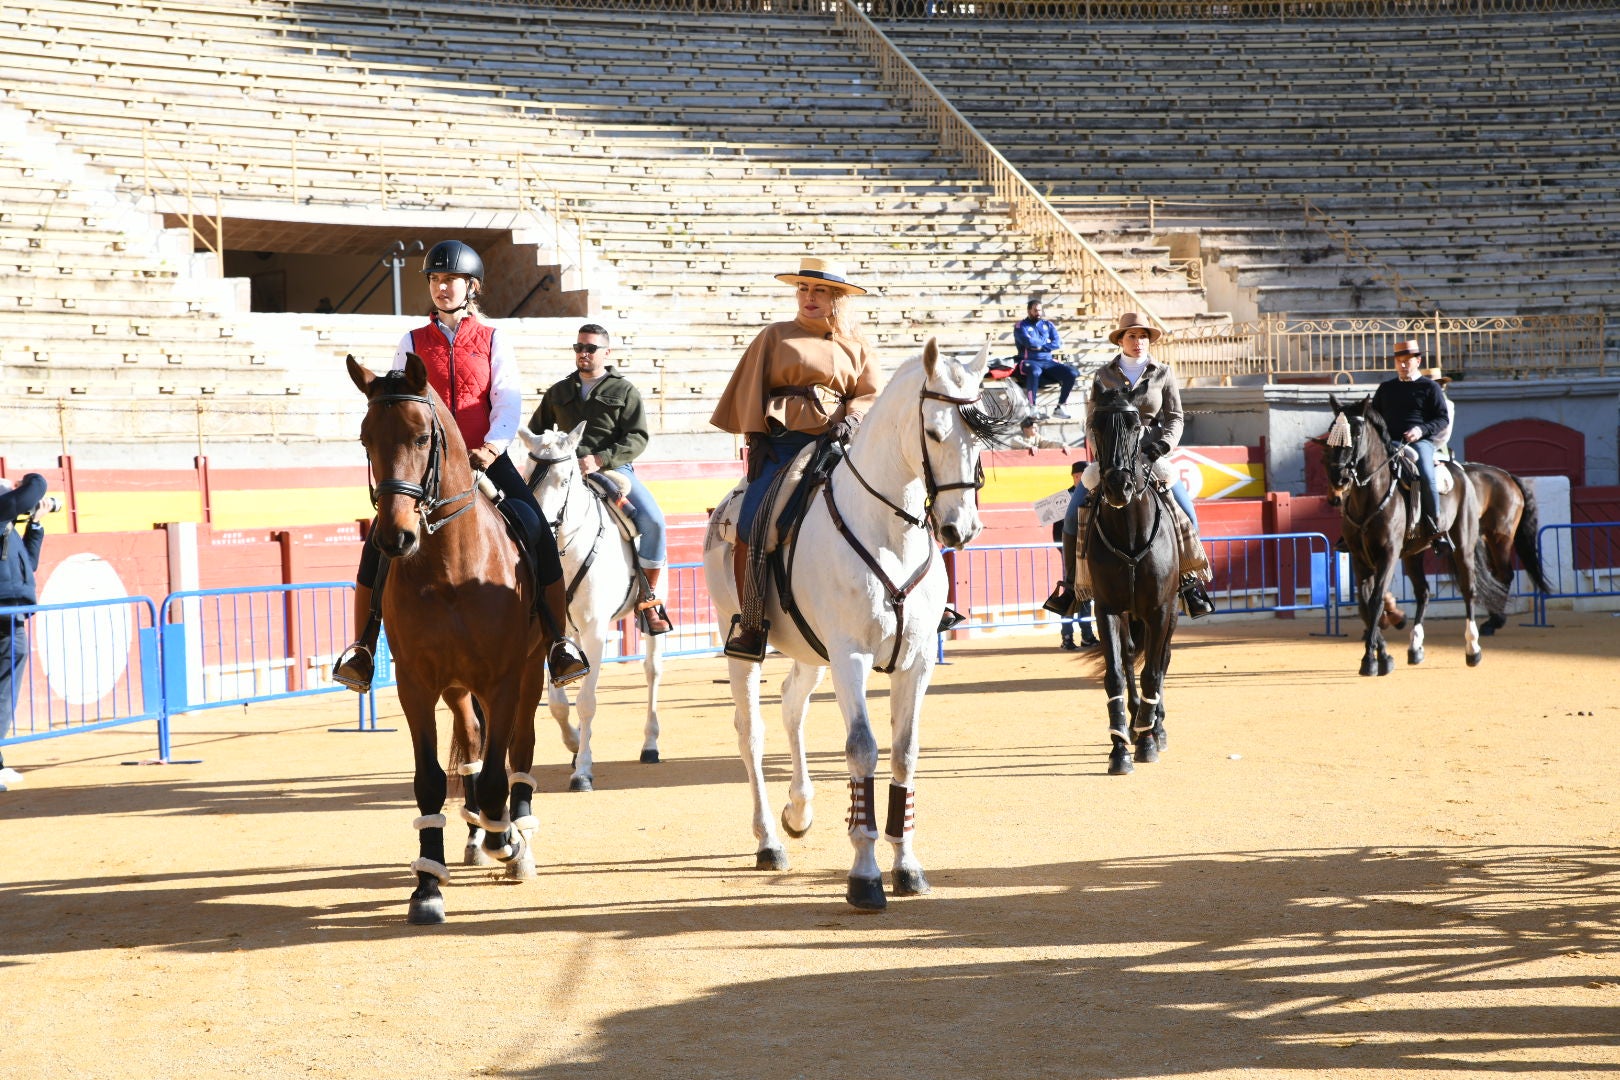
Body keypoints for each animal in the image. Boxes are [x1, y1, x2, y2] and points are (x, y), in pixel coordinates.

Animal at [348, 356, 550, 932]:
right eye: (366, 438)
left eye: (420, 437)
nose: (395, 538)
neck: (450, 568)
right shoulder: (417, 684)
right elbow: (431, 780)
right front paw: (427, 887)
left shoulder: (504, 679)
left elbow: (499, 777)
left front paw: (507, 842)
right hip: (459, 688)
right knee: (473, 746)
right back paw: (479, 835)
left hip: (531, 673)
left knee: (519, 750)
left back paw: (514, 839)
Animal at [521, 420, 667, 793]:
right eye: (525, 476)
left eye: (563, 480)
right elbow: (557, 704)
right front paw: (574, 744)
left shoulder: (595, 631)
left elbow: (586, 701)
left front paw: (583, 772)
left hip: (651, 617)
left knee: (652, 671)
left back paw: (650, 744)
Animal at [696, 340, 1010, 913]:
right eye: (935, 432)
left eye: (977, 436)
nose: (962, 528)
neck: (888, 528)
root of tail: (725, 508)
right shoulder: (851, 656)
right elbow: (861, 748)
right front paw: (864, 874)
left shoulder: (916, 662)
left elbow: (905, 753)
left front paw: (907, 865)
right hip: (745, 647)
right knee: (751, 733)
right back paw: (769, 840)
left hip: (809, 652)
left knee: (792, 705)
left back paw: (799, 811)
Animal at [1082, 383, 1185, 773]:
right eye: (1095, 425)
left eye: (1137, 424)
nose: (1118, 487)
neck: (1128, 531)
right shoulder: (1107, 609)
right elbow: (1115, 672)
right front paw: (1120, 748)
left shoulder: (1161, 609)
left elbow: (1153, 671)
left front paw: (1147, 738)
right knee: (1128, 657)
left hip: (1172, 611)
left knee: (1162, 660)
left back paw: (1156, 727)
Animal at [1315, 396, 1542, 676]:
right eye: (1331, 432)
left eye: (1356, 433)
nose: (1339, 479)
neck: (1370, 498)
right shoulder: (1360, 558)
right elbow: (1365, 605)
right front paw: (1382, 655)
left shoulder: (1388, 555)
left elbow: (1376, 601)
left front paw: (1371, 659)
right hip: (1414, 553)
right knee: (1423, 592)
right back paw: (1415, 647)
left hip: (1478, 541)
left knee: (1474, 587)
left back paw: (1475, 647)